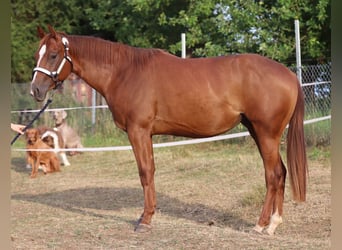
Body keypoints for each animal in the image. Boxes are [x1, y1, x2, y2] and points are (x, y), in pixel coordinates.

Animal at [30, 25, 308, 234]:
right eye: (37, 54)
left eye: (53, 54)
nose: (36, 90)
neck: (124, 72)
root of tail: (289, 74)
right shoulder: (145, 134)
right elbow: (150, 171)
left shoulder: (139, 131)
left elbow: (145, 172)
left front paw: (145, 220)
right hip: (257, 132)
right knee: (281, 173)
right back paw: (273, 223)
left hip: (266, 133)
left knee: (273, 175)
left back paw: (262, 225)